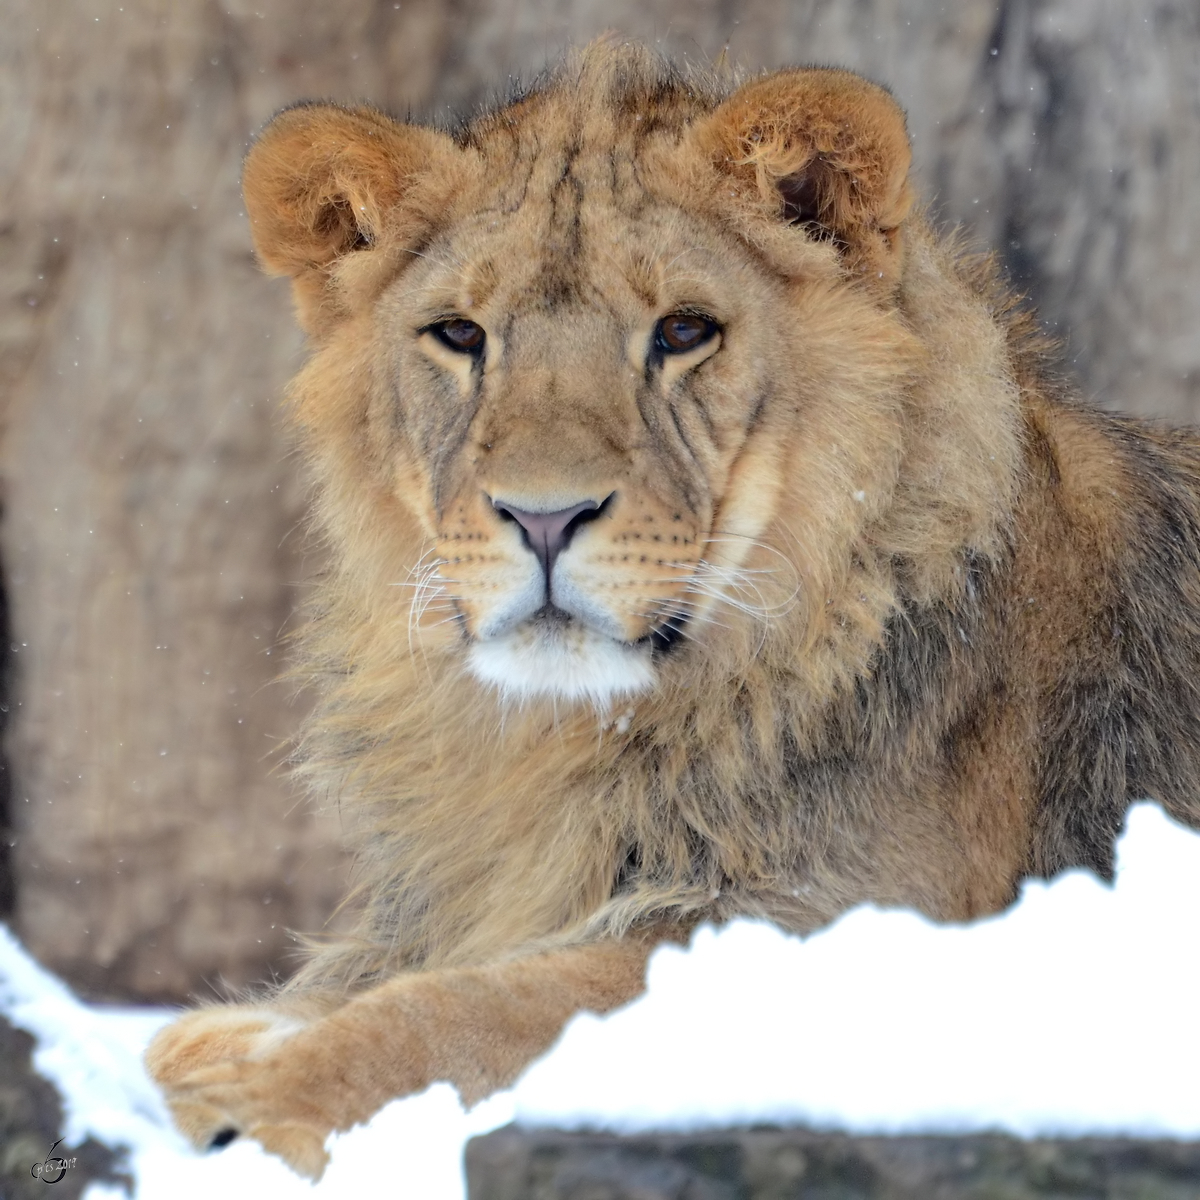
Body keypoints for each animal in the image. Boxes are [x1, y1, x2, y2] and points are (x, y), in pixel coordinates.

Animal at [147, 39, 1200, 1180]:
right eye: (460, 335)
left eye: (684, 331)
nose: (544, 516)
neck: (567, 739)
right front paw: (237, 1040)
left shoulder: (847, 925)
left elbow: (486, 1010)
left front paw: (248, 1088)